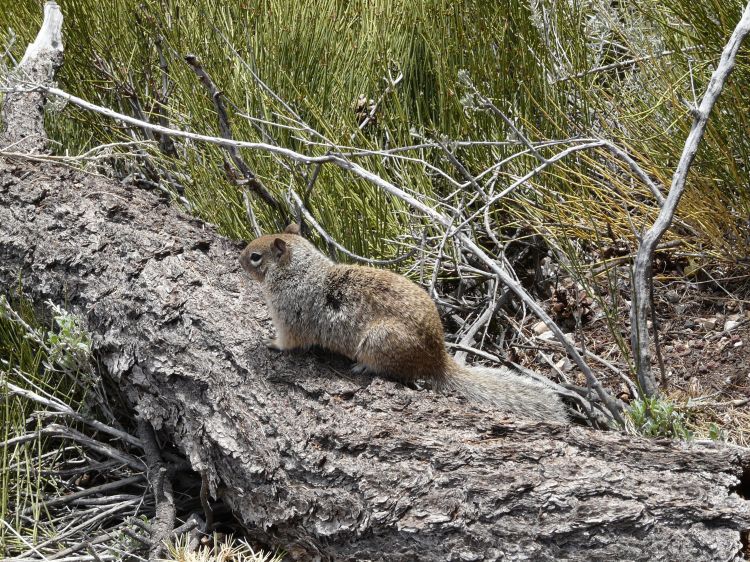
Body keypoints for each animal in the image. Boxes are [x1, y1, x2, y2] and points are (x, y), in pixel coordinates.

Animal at [241, 225, 568, 422]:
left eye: (255, 256)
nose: (240, 259)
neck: (298, 271)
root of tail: (436, 359)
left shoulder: (289, 318)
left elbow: (288, 341)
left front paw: (269, 342)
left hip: (380, 340)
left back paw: (363, 367)